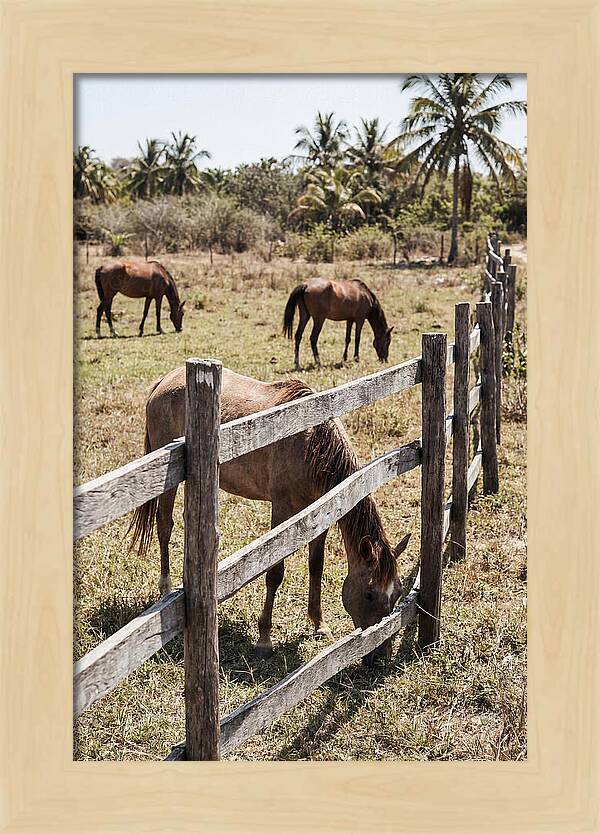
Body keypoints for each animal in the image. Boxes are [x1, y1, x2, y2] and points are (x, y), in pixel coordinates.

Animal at [129, 366, 411, 664]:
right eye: (369, 595)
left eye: (397, 593)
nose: (380, 655)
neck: (312, 444)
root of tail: (165, 381)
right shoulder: (282, 509)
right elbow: (275, 572)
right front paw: (264, 639)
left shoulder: (321, 511)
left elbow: (316, 566)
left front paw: (319, 624)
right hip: (167, 480)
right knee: (164, 526)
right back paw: (166, 588)